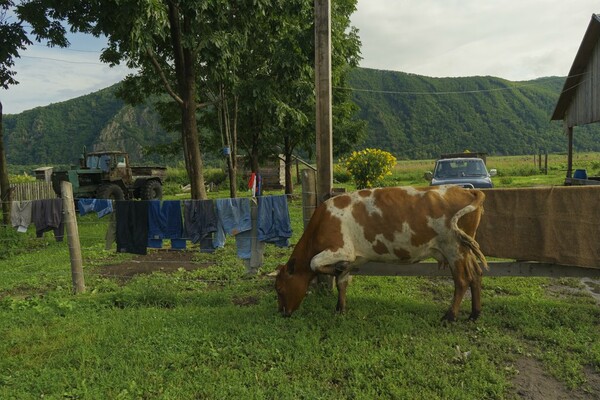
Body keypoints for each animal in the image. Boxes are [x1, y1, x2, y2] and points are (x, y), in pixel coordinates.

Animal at [276, 185, 488, 322]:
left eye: (279, 288)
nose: (283, 312)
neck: (323, 220)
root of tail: (465, 189)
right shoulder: (351, 258)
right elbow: (342, 282)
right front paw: (340, 309)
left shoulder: (342, 249)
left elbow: (314, 262)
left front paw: (335, 271)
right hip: (465, 249)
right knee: (476, 275)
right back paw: (474, 314)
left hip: (454, 249)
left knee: (462, 281)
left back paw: (450, 316)